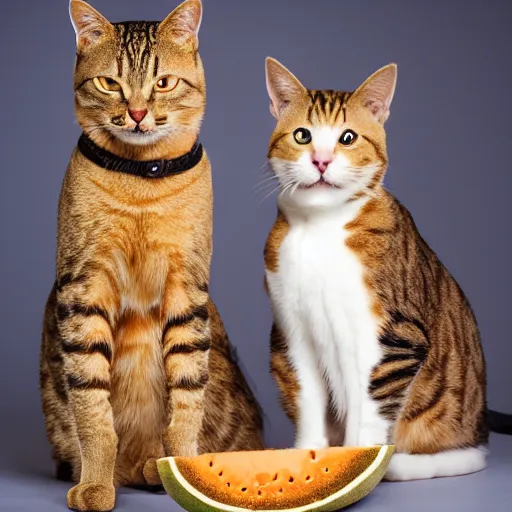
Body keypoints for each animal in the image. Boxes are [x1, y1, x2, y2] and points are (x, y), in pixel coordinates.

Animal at [39, 2, 264, 510]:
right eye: (109, 83)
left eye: (163, 82)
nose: (138, 112)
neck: (143, 179)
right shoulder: (84, 288)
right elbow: (92, 409)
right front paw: (96, 482)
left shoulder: (188, 289)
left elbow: (186, 401)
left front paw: (180, 467)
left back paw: (153, 469)